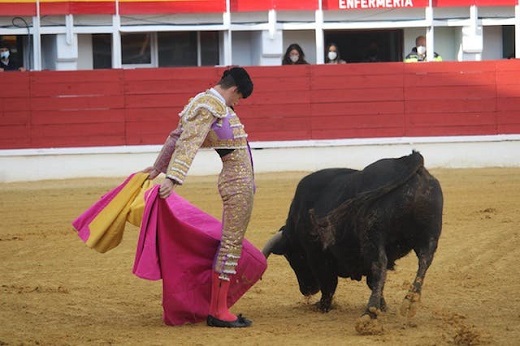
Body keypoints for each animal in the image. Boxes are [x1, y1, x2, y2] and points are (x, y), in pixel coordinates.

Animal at [264, 151, 442, 328]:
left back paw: (369, 313)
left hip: (374, 236)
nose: (307, 290)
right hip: (430, 234)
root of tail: (406, 160)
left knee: (379, 265)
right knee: (424, 260)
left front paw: (322, 306)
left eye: (294, 257)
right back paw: (410, 302)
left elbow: (329, 284)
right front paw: (383, 307)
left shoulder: (318, 257)